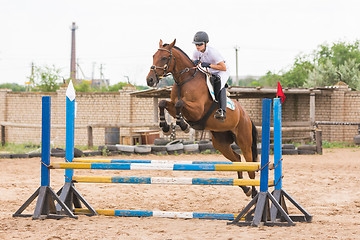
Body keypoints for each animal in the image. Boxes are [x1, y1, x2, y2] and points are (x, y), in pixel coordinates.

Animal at [146, 39, 258, 197]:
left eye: (164, 58)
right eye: (154, 56)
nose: (150, 80)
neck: (184, 80)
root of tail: (246, 116)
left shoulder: (197, 110)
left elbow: (180, 104)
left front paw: (184, 126)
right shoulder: (173, 106)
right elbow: (163, 103)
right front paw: (166, 127)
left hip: (244, 140)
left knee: (250, 166)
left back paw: (254, 192)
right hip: (221, 143)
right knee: (237, 159)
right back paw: (245, 188)